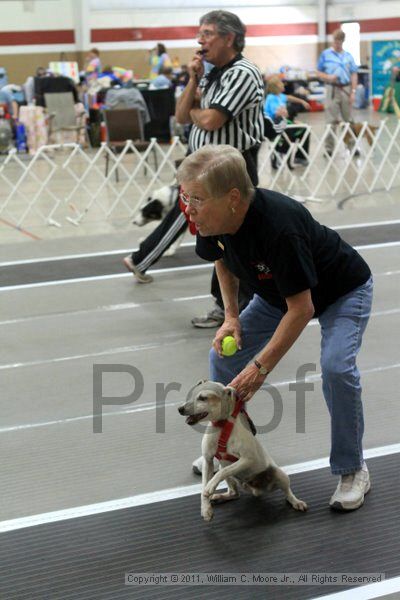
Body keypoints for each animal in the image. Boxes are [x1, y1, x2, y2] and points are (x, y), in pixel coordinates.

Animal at [177, 384, 306, 520]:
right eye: (191, 395)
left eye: (202, 398)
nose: (180, 409)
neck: (222, 426)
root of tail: (257, 490)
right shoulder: (208, 460)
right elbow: (205, 486)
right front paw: (206, 509)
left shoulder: (248, 459)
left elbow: (222, 472)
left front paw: (211, 486)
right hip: (229, 474)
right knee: (234, 493)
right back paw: (220, 497)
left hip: (280, 474)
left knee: (287, 492)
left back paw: (296, 502)